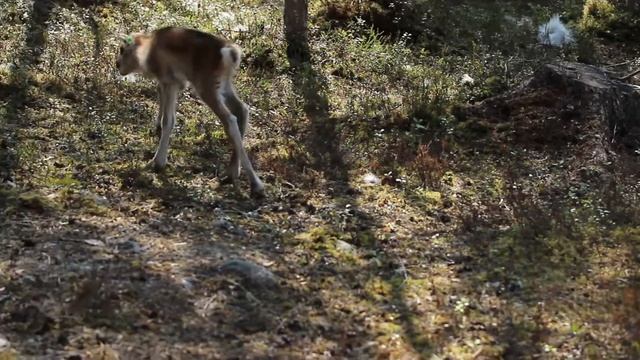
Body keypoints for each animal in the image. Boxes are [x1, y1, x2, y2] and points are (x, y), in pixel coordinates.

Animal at [116, 27, 264, 198]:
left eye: (122, 49)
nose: (117, 64)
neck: (146, 51)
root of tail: (230, 52)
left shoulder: (171, 81)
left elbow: (169, 120)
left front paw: (158, 162)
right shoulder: (166, 83)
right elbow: (161, 101)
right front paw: (156, 128)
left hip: (206, 86)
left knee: (230, 120)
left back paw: (256, 184)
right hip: (224, 84)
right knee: (242, 110)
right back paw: (231, 173)